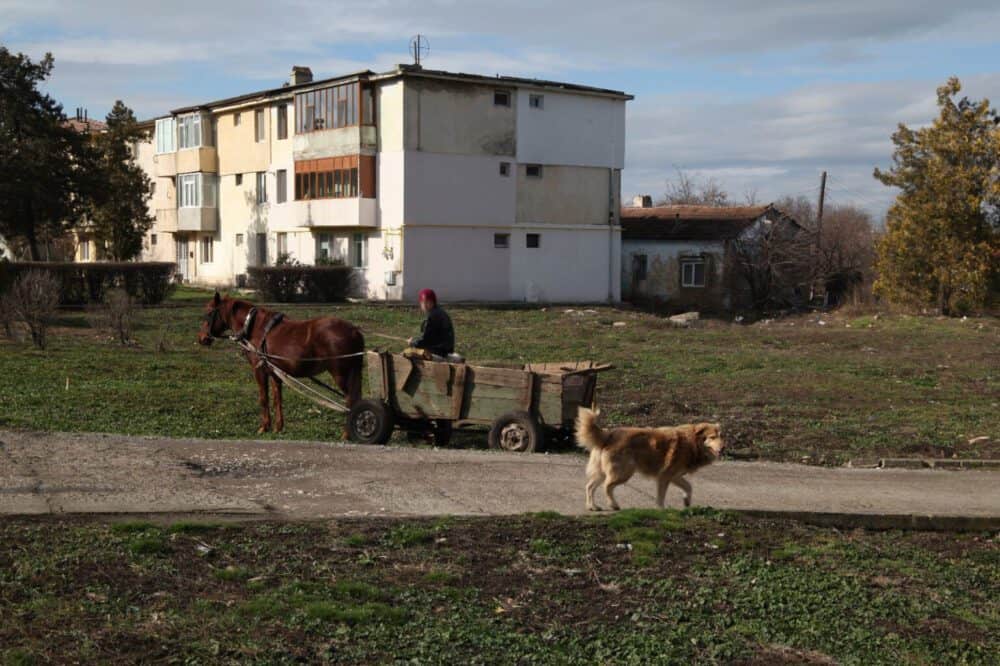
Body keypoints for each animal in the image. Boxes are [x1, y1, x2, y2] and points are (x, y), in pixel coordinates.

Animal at [197, 294, 366, 434]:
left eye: (209, 313)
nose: (201, 338)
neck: (254, 328)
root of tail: (354, 330)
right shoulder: (275, 373)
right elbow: (277, 399)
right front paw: (278, 427)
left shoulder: (259, 370)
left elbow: (263, 398)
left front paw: (264, 427)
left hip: (341, 374)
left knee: (350, 400)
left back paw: (346, 434)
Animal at [576, 404, 724, 508]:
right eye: (712, 437)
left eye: (721, 436)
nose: (723, 448)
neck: (692, 441)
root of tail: (608, 434)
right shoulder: (665, 476)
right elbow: (661, 497)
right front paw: (661, 510)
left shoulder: (675, 476)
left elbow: (689, 486)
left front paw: (686, 500)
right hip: (623, 472)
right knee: (607, 486)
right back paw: (613, 505)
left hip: (603, 472)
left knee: (590, 486)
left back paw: (592, 506)